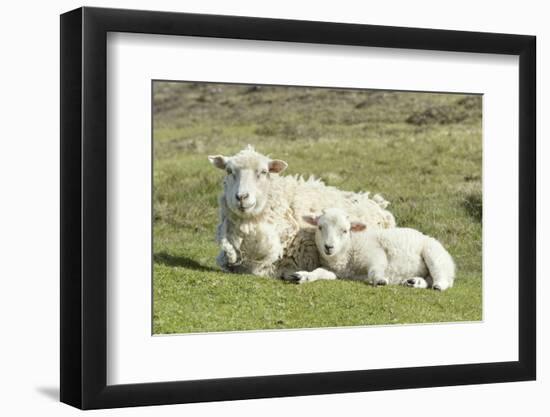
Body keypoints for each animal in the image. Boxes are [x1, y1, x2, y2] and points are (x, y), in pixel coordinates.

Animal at [294, 207, 458, 290]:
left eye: (345, 231)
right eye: (320, 227)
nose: (328, 247)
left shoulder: (375, 253)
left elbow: (374, 270)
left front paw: (379, 280)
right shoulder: (336, 272)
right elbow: (319, 272)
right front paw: (304, 276)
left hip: (434, 254)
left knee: (442, 276)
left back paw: (438, 285)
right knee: (428, 279)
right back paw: (414, 282)